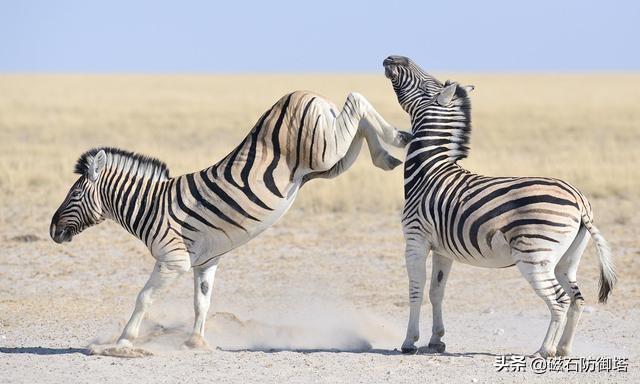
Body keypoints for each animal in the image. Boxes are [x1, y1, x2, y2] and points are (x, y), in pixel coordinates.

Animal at [48, 89, 410, 348]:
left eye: (74, 194)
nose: (52, 230)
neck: (151, 206)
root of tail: (303, 93)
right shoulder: (205, 262)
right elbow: (202, 302)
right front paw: (196, 342)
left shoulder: (173, 260)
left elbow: (144, 297)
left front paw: (124, 340)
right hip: (329, 162)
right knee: (357, 123)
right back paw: (389, 151)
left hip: (323, 150)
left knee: (356, 100)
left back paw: (395, 139)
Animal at [382, 55, 616, 358]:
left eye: (427, 84)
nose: (392, 58)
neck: (428, 170)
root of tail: (578, 200)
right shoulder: (442, 249)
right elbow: (437, 292)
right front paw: (436, 340)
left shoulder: (415, 239)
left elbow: (416, 290)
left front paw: (409, 342)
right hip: (567, 259)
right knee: (576, 298)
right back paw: (563, 349)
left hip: (534, 256)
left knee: (559, 300)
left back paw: (544, 350)